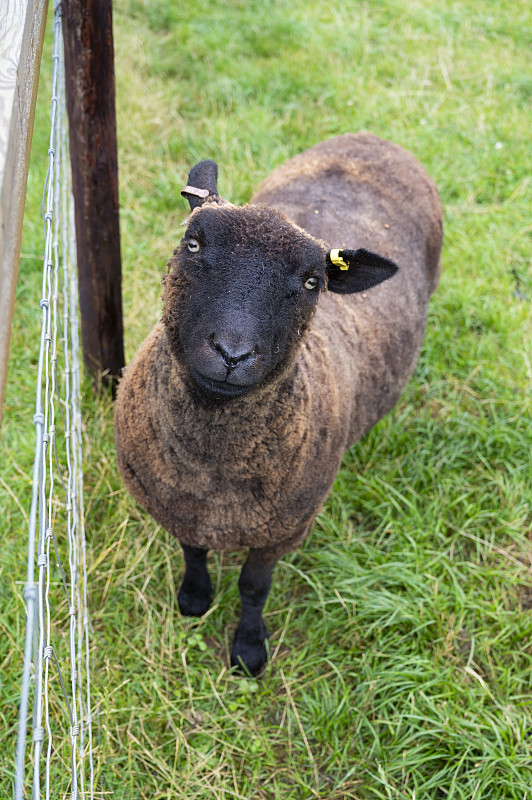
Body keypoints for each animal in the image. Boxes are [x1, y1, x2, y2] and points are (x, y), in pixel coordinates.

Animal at [114, 131, 442, 676]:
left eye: (312, 282)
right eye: (193, 243)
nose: (232, 353)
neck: (211, 473)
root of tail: (374, 137)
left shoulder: (284, 529)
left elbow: (253, 586)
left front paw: (248, 649)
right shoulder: (177, 507)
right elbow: (193, 552)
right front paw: (194, 600)